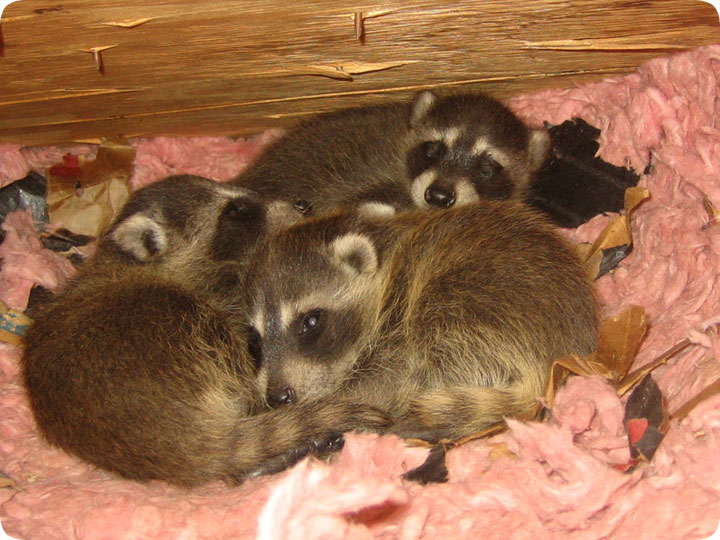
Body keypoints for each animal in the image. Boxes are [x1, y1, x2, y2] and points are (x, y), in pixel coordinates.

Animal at [245, 202, 600, 442]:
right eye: (255, 342)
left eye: (310, 321)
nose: (277, 398)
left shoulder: (397, 333)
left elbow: (380, 387)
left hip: (466, 308)